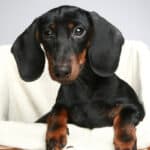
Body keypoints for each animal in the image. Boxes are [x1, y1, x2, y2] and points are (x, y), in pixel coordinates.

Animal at [11, 5, 145, 149]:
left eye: (79, 31)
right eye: (47, 33)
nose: (61, 71)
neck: (84, 87)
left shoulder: (135, 108)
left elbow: (125, 115)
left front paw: (125, 141)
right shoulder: (60, 105)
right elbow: (56, 111)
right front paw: (55, 134)